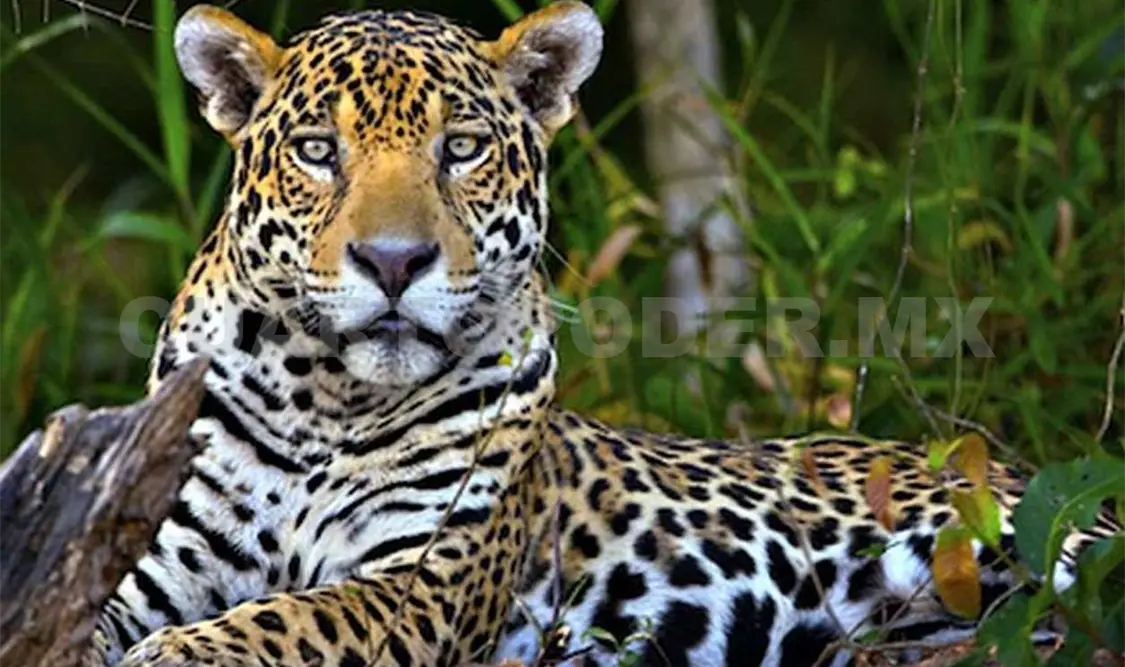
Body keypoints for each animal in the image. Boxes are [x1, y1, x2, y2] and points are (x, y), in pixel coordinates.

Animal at [81, 3, 1116, 667]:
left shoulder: (422, 576)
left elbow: (285, 619)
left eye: (460, 149)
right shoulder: (146, 552)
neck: (323, 396)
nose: (393, 260)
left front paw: (175, 655)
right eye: (316, 152)